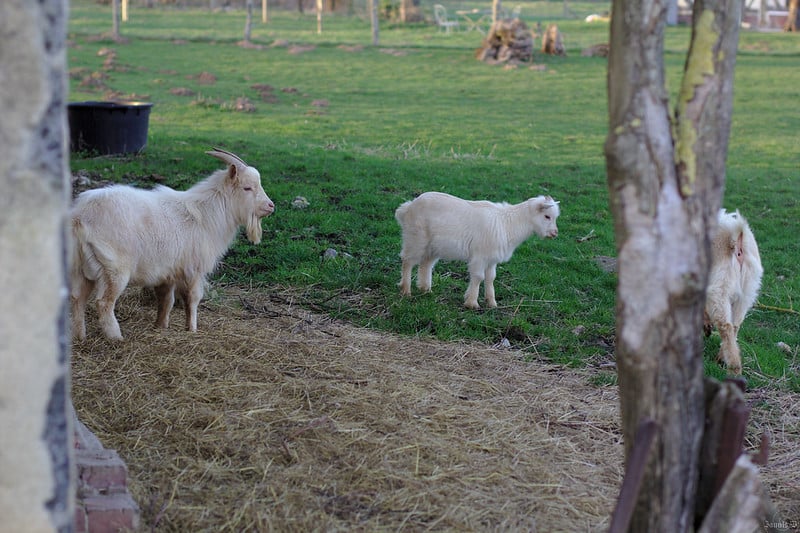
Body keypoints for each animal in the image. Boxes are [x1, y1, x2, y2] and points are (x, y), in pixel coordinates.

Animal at [70, 149, 276, 340]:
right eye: (247, 188)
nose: (271, 206)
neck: (206, 213)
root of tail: (81, 216)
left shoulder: (168, 272)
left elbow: (166, 300)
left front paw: (160, 325)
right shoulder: (194, 269)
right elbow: (192, 299)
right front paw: (192, 329)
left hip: (80, 267)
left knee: (77, 298)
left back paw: (80, 336)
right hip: (114, 268)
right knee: (103, 302)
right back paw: (116, 337)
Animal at [396, 191, 560, 308]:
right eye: (547, 216)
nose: (555, 233)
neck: (507, 223)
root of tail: (408, 207)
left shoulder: (491, 259)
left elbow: (491, 278)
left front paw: (492, 303)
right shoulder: (480, 256)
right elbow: (479, 277)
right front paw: (472, 303)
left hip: (433, 246)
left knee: (426, 264)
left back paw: (426, 289)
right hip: (415, 238)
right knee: (407, 261)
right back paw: (406, 290)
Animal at [708, 208, 764, 374]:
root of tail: (736, 241)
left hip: (719, 289)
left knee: (725, 326)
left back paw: (733, 368)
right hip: (746, 293)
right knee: (735, 326)